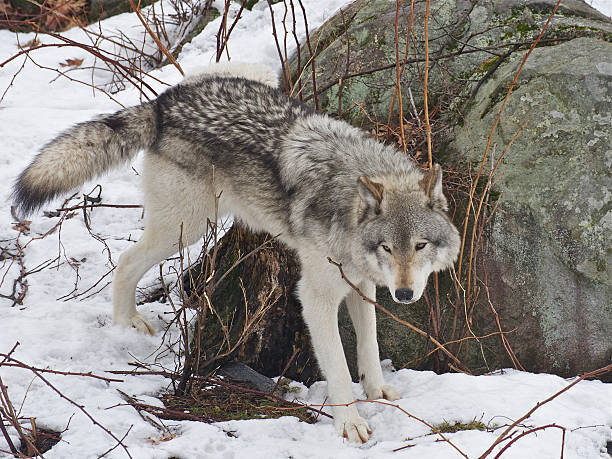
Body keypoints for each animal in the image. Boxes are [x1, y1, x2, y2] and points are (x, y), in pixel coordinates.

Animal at [13, 63, 460, 444]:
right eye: (388, 247)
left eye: (419, 246)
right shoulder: (316, 297)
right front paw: (349, 423)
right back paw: (128, 323)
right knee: (125, 262)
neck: (348, 201)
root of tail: (164, 104)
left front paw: (377, 390)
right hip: (185, 227)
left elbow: (368, 344)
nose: (404, 295)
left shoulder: (361, 282)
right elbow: (336, 364)